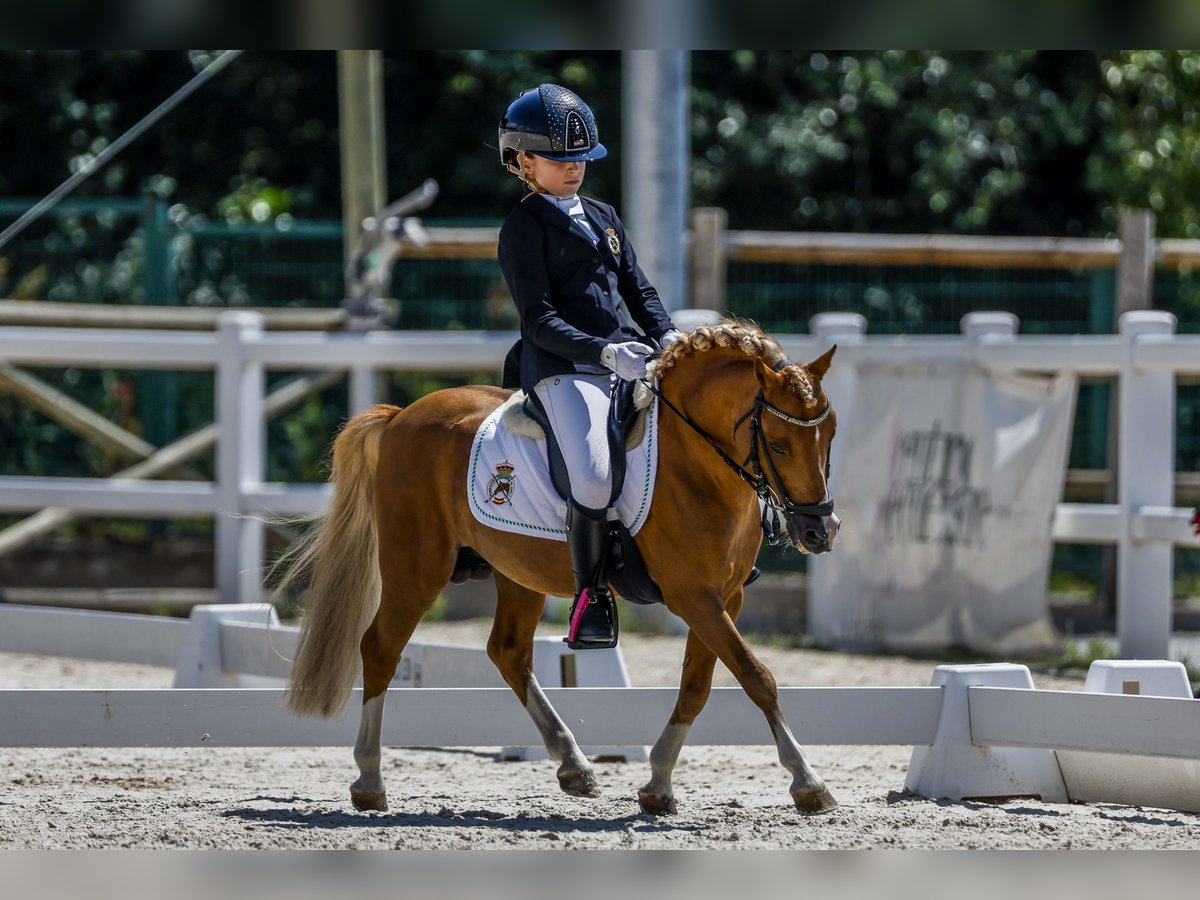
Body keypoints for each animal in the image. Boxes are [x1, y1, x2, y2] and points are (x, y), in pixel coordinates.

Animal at [282, 321, 844, 816]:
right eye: (777, 444)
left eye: (831, 435)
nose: (820, 531)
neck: (696, 463)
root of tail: (402, 415)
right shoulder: (693, 596)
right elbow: (756, 675)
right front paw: (808, 782)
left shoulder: (725, 596)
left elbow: (697, 685)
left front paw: (658, 785)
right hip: (416, 565)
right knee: (381, 649)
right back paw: (370, 782)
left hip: (517, 571)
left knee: (508, 652)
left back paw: (574, 766)